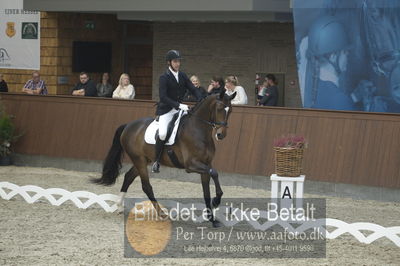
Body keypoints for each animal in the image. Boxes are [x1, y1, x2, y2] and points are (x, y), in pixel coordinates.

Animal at [92, 90, 236, 227]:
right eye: (219, 108)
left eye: (230, 110)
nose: (221, 135)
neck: (199, 131)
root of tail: (128, 125)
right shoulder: (191, 165)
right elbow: (215, 173)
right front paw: (216, 201)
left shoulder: (206, 164)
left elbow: (206, 191)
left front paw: (212, 219)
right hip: (139, 160)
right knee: (146, 186)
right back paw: (162, 214)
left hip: (144, 160)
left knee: (128, 177)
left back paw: (119, 207)